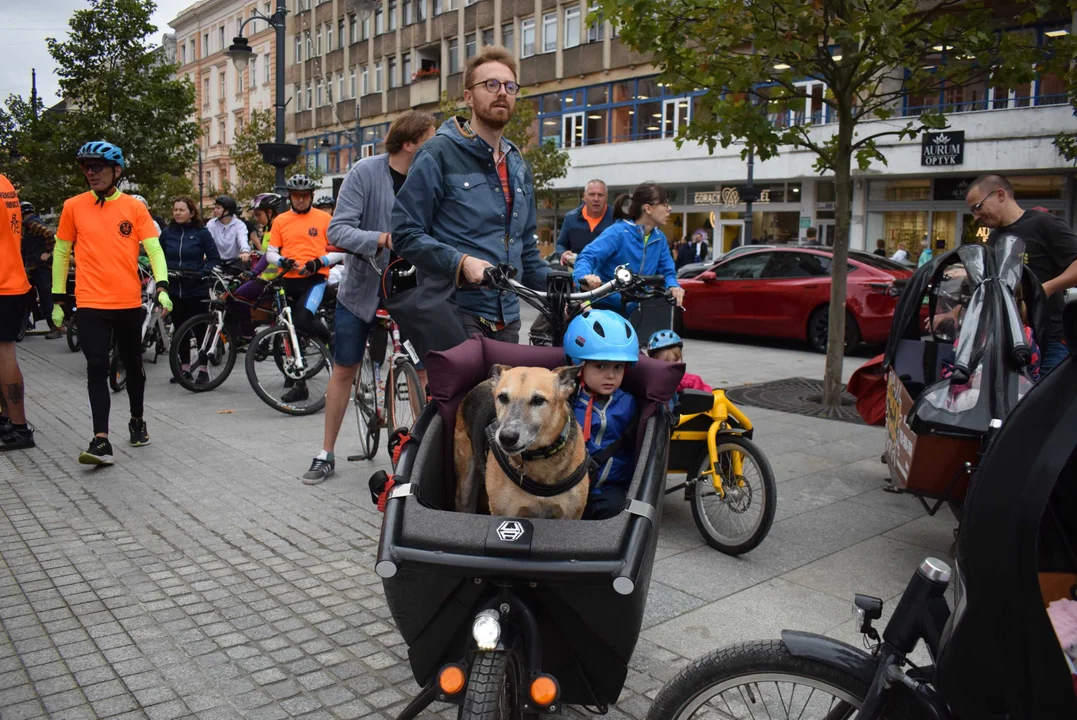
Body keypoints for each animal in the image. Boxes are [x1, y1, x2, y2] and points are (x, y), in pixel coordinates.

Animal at [454, 365, 590, 516]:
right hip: (465, 485)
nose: (507, 438)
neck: (540, 457)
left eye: (538, 400)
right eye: (502, 397)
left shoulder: (571, 513)